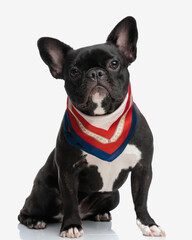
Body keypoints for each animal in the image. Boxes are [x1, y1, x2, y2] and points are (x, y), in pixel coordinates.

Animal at [18, 16, 165, 238]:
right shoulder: (68, 171)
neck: (103, 121)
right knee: (25, 211)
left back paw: (100, 215)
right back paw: (35, 221)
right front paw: (71, 225)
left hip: (114, 196)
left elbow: (141, 199)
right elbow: (70, 200)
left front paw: (148, 223)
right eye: (74, 71)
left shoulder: (143, 168)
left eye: (114, 63)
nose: (95, 73)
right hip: (43, 194)